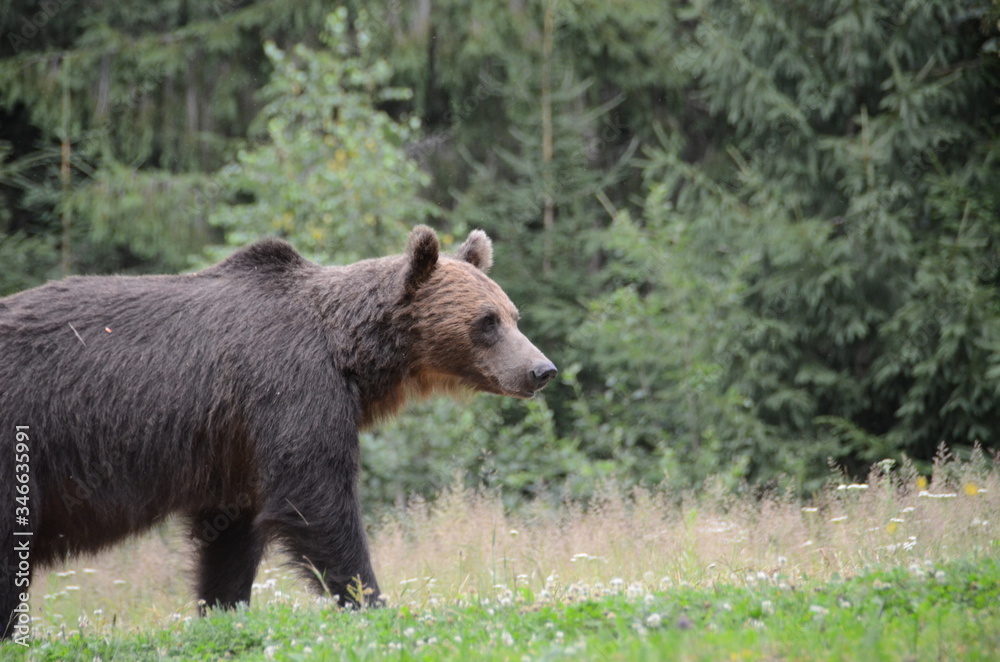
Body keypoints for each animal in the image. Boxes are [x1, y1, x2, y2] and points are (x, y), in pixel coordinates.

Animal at [0, 226, 556, 640]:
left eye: (513, 315)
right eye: (487, 321)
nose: (541, 369)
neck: (350, 356)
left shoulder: (235, 447)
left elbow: (230, 538)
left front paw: (222, 608)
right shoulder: (289, 390)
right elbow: (315, 500)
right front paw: (371, 601)